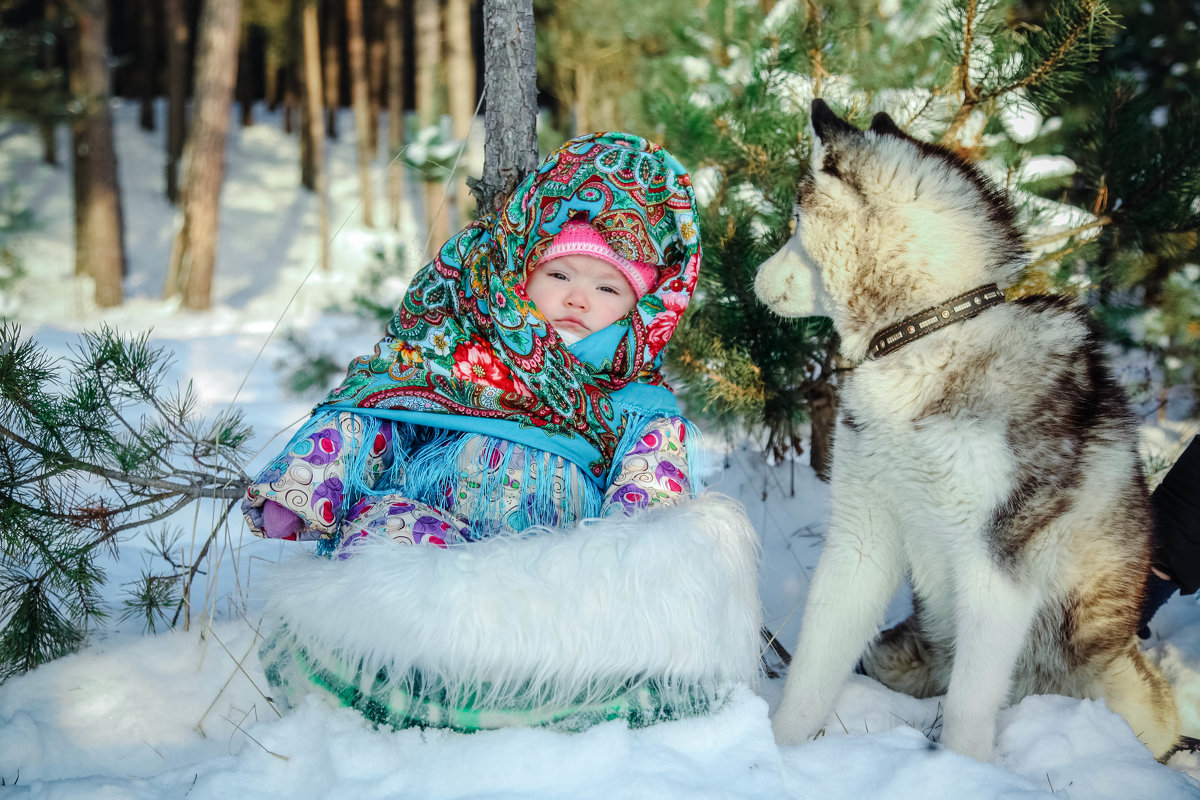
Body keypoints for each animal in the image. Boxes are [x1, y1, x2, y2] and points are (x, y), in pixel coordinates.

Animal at [758, 100, 1180, 762]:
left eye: (795, 223)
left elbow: (967, 707)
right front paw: (778, 750)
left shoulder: (996, 561)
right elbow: (813, 667)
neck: (927, 334)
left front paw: (962, 770)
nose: (753, 276)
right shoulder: (862, 533)